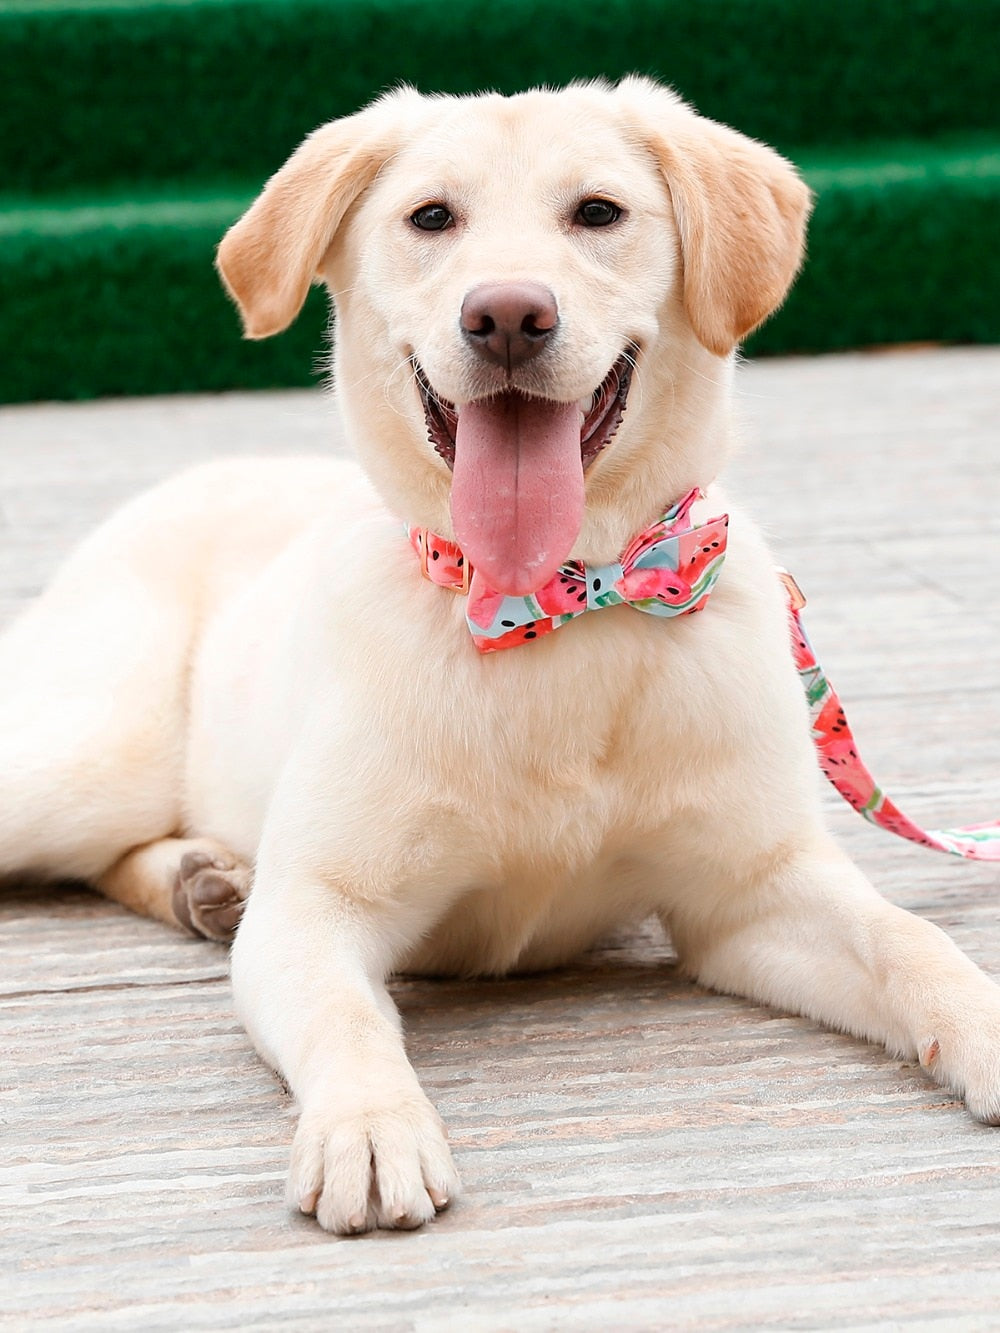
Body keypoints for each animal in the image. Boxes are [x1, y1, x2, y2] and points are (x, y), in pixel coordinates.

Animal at [1, 77, 1000, 1231]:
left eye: (598, 213)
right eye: (431, 217)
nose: (509, 315)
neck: (554, 605)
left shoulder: (749, 897)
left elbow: (913, 940)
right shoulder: (317, 910)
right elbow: (349, 1018)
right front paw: (371, 1126)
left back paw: (199, 879)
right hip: (88, 758)